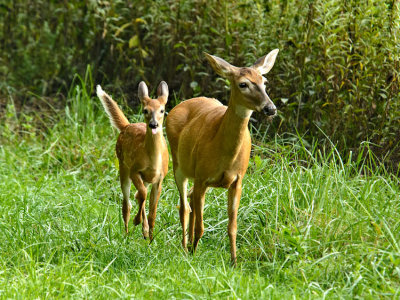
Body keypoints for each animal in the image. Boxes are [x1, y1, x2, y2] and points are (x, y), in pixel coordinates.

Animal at [97, 81, 169, 239]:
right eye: (145, 110)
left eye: (162, 110)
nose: (153, 124)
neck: (153, 161)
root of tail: (126, 125)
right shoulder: (135, 170)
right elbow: (142, 194)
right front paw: (138, 222)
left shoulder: (160, 177)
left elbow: (152, 212)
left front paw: (151, 238)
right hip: (123, 165)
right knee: (127, 204)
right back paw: (126, 233)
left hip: (144, 178)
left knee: (136, 197)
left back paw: (144, 231)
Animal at [166, 49, 278, 264]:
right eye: (243, 84)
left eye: (265, 81)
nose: (270, 108)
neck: (225, 154)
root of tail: (180, 104)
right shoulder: (202, 176)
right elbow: (201, 226)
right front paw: (194, 254)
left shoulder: (237, 180)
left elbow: (232, 227)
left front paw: (234, 261)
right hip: (178, 164)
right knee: (184, 206)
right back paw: (184, 248)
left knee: (190, 200)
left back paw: (189, 244)